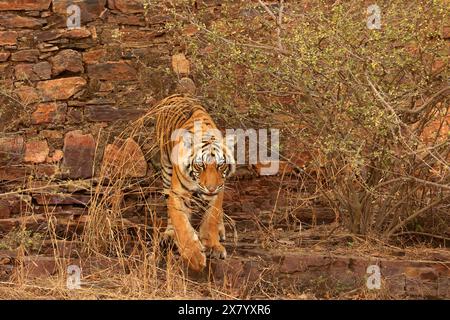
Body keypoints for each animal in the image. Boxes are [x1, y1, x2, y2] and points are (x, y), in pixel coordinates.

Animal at [155, 94, 236, 272]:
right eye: (200, 165)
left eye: (220, 165)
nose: (210, 188)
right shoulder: (177, 194)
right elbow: (181, 224)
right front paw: (194, 257)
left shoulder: (218, 191)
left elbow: (211, 218)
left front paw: (213, 247)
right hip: (166, 168)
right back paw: (169, 234)